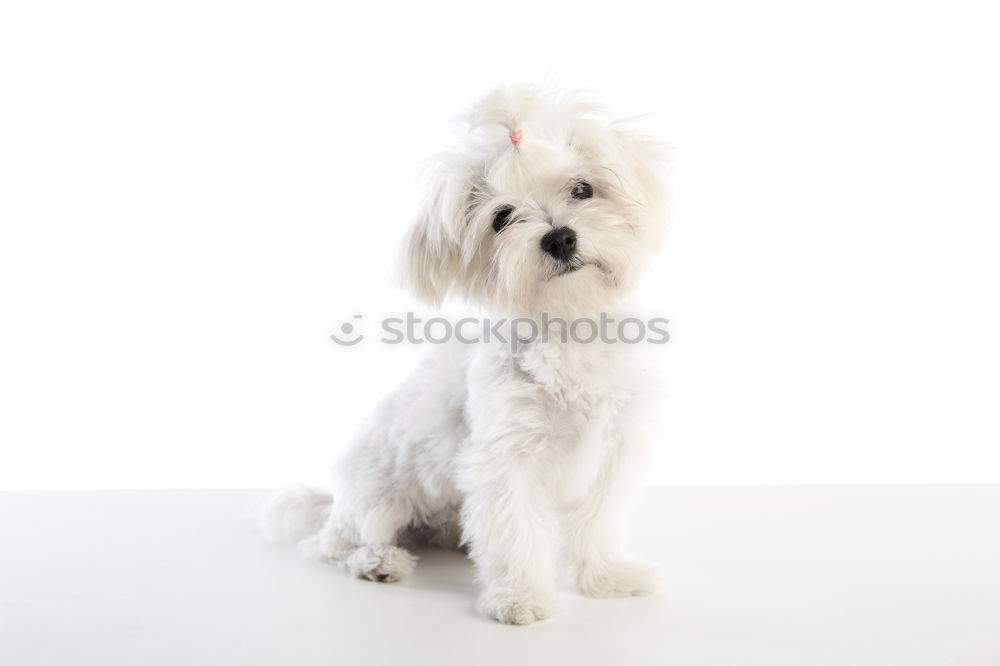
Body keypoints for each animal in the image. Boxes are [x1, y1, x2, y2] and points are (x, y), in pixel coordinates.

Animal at [262, 85, 668, 624]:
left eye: (583, 189)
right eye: (502, 218)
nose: (560, 237)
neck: (567, 326)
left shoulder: (612, 449)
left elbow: (596, 524)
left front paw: (606, 578)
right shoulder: (506, 457)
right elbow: (515, 532)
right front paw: (521, 597)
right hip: (378, 497)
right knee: (337, 545)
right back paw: (379, 561)